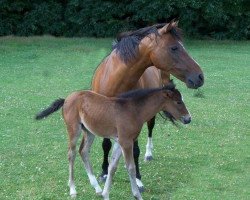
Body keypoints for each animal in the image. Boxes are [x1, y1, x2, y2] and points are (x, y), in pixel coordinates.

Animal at [36, 82, 190, 199]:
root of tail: (67, 99)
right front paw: (137, 195)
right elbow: (130, 168)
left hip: (89, 132)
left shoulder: (119, 141)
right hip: (74, 130)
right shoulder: (126, 142)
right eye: (178, 101)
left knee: (83, 151)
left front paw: (105, 194)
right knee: (71, 154)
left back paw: (97, 188)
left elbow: (112, 167)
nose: (188, 118)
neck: (134, 110)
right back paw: (73, 189)